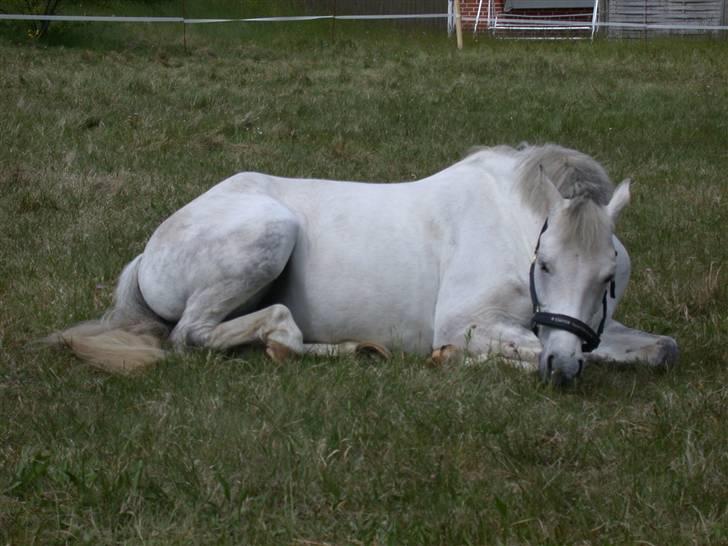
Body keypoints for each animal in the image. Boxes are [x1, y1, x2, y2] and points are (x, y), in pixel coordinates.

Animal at [48, 144, 678, 385]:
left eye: (609, 278)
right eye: (543, 265)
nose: (560, 369)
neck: (511, 225)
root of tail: (149, 252)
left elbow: (659, 349)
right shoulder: (468, 323)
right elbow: (492, 347)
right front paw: (452, 359)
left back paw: (355, 348)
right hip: (269, 232)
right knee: (196, 334)